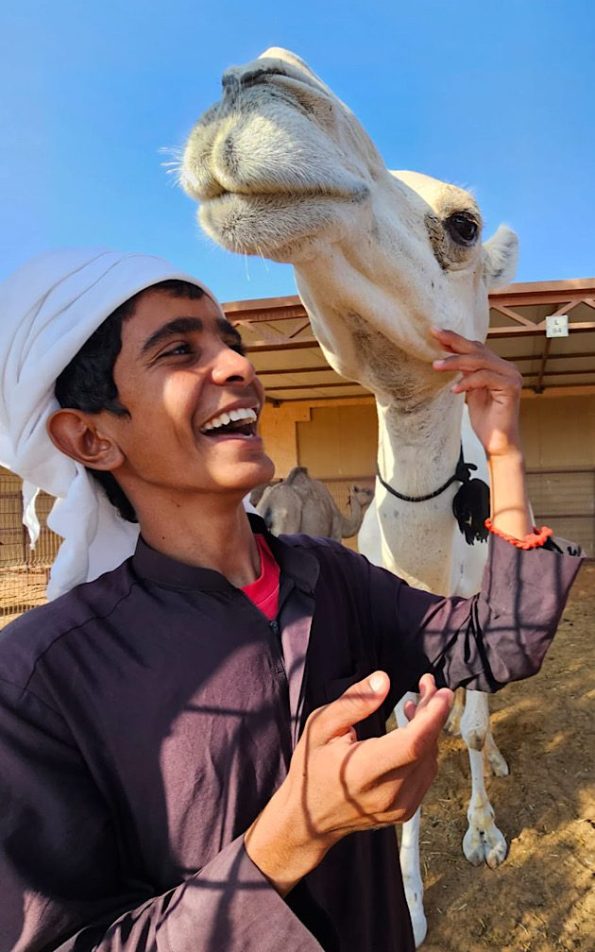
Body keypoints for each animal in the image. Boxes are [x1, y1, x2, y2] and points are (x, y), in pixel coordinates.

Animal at [180, 48, 519, 946]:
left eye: (463, 224)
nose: (260, 78)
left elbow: (474, 721)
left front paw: (483, 834)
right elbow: (400, 725)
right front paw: (407, 896)